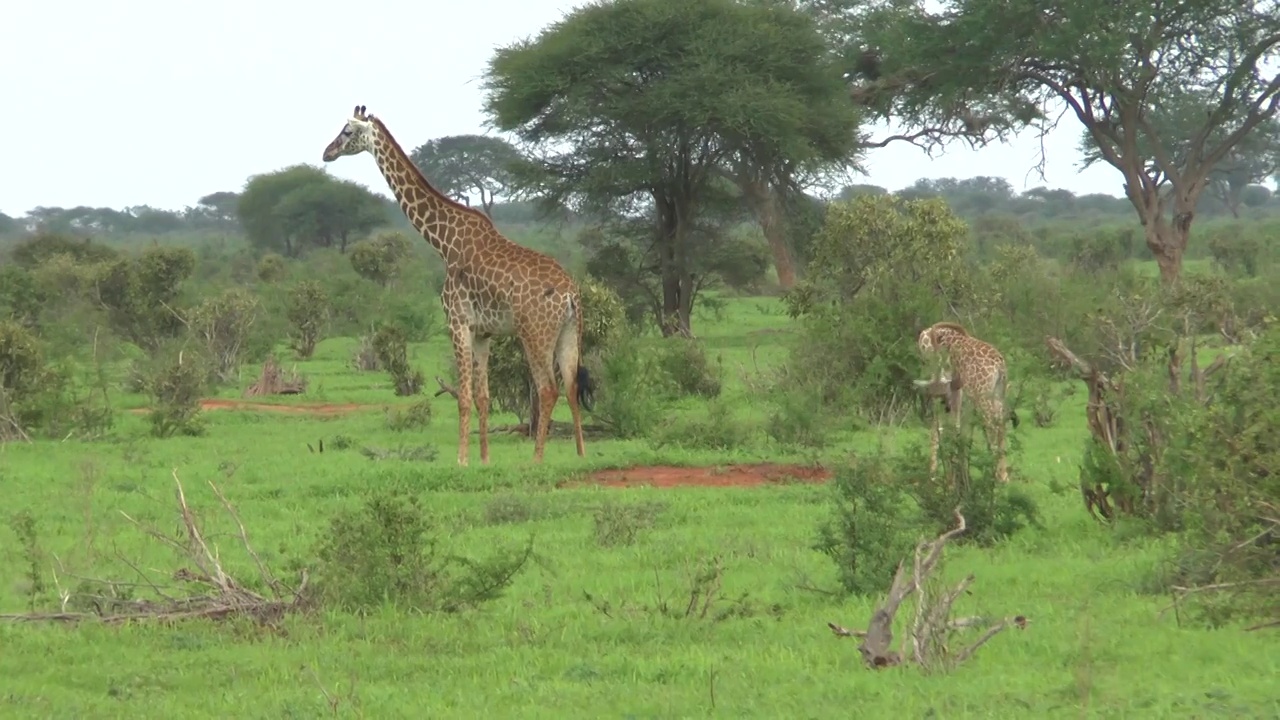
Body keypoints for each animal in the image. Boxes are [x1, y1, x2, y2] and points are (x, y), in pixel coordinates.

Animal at [325, 106, 593, 466]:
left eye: (347, 132)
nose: (327, 153)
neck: (444, 243)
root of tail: (569, 294)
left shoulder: (457, 323)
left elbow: (463, 396)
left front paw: (461, 460)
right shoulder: (483, 332)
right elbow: (483, 396)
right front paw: (484, 460)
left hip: (533, 333)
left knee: (547, 389)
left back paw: (536, 460)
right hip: (569, 332)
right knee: (571, 387)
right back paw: (581, 455)